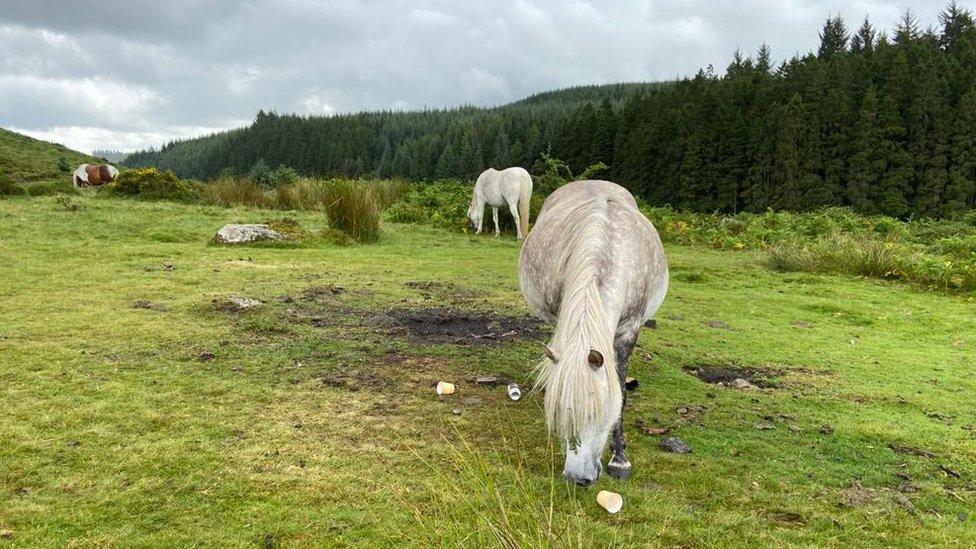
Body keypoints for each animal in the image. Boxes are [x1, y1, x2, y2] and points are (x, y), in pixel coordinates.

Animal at [520, 179, 672, 484]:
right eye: (560, 412)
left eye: (599, 414)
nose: (577, 478)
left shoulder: (628, 332)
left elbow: (621, 392)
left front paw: (620, 459)